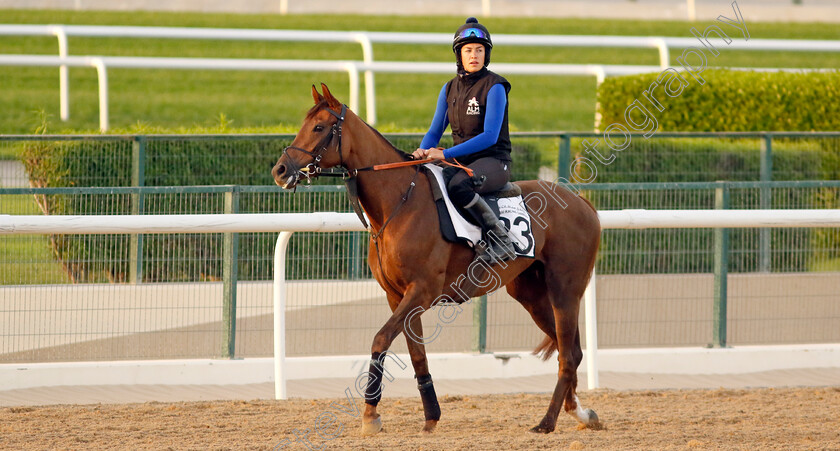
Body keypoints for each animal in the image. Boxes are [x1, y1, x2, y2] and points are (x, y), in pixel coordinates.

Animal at [272, 84, 600, 434]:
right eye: (305, 123)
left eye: (319, 127)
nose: (280, 170)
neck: (398, 205)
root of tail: (582, 202)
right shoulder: (398, 295)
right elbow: (417, 355)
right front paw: (430, 416)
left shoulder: (422, 291)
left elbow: (380, 339)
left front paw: (371, 414)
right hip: (530, 294)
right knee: (570, 350)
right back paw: (580, 413)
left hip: (565, 290)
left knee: (568, 353)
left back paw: (547, 421)